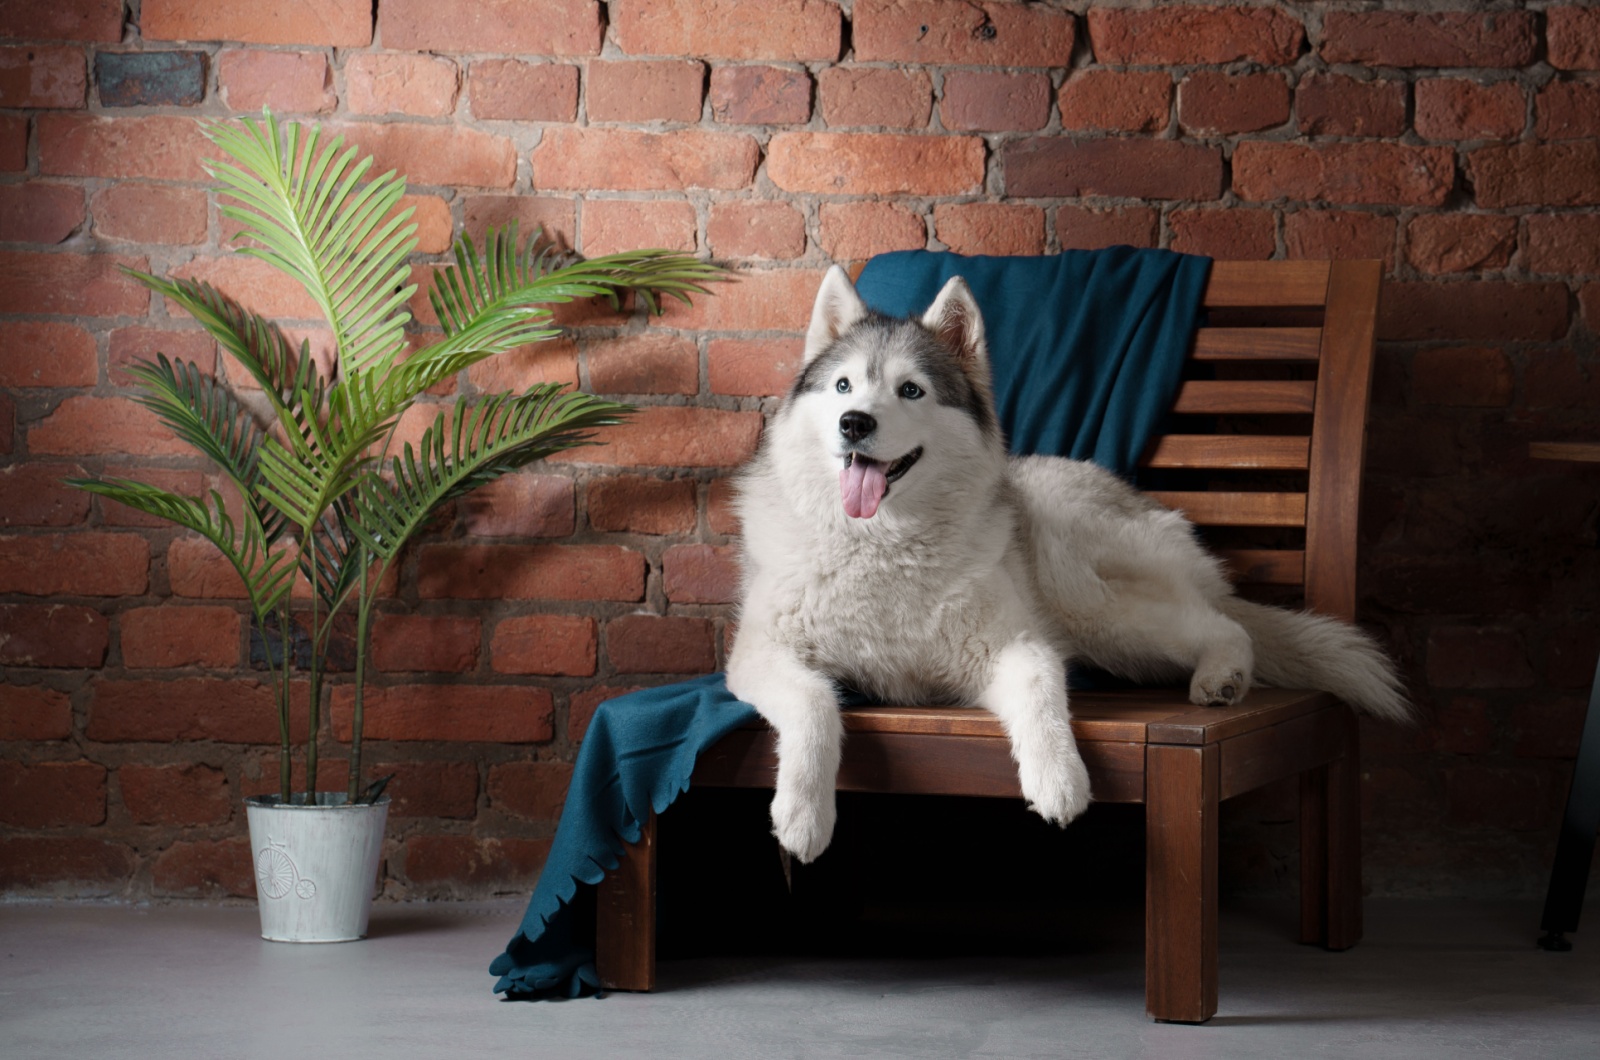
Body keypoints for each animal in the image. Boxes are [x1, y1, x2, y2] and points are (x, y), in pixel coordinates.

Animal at [729, 264, 1414, 864]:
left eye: (911, 390)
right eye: (843, 386)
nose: (854, 423)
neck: (881, 544)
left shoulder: (1016, 645)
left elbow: (1041, 688)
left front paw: (1059, 779)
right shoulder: (757, 656)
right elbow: (816, 702)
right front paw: (804, 813)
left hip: (1089, 601)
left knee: (1226, 625)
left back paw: (1223, 676)